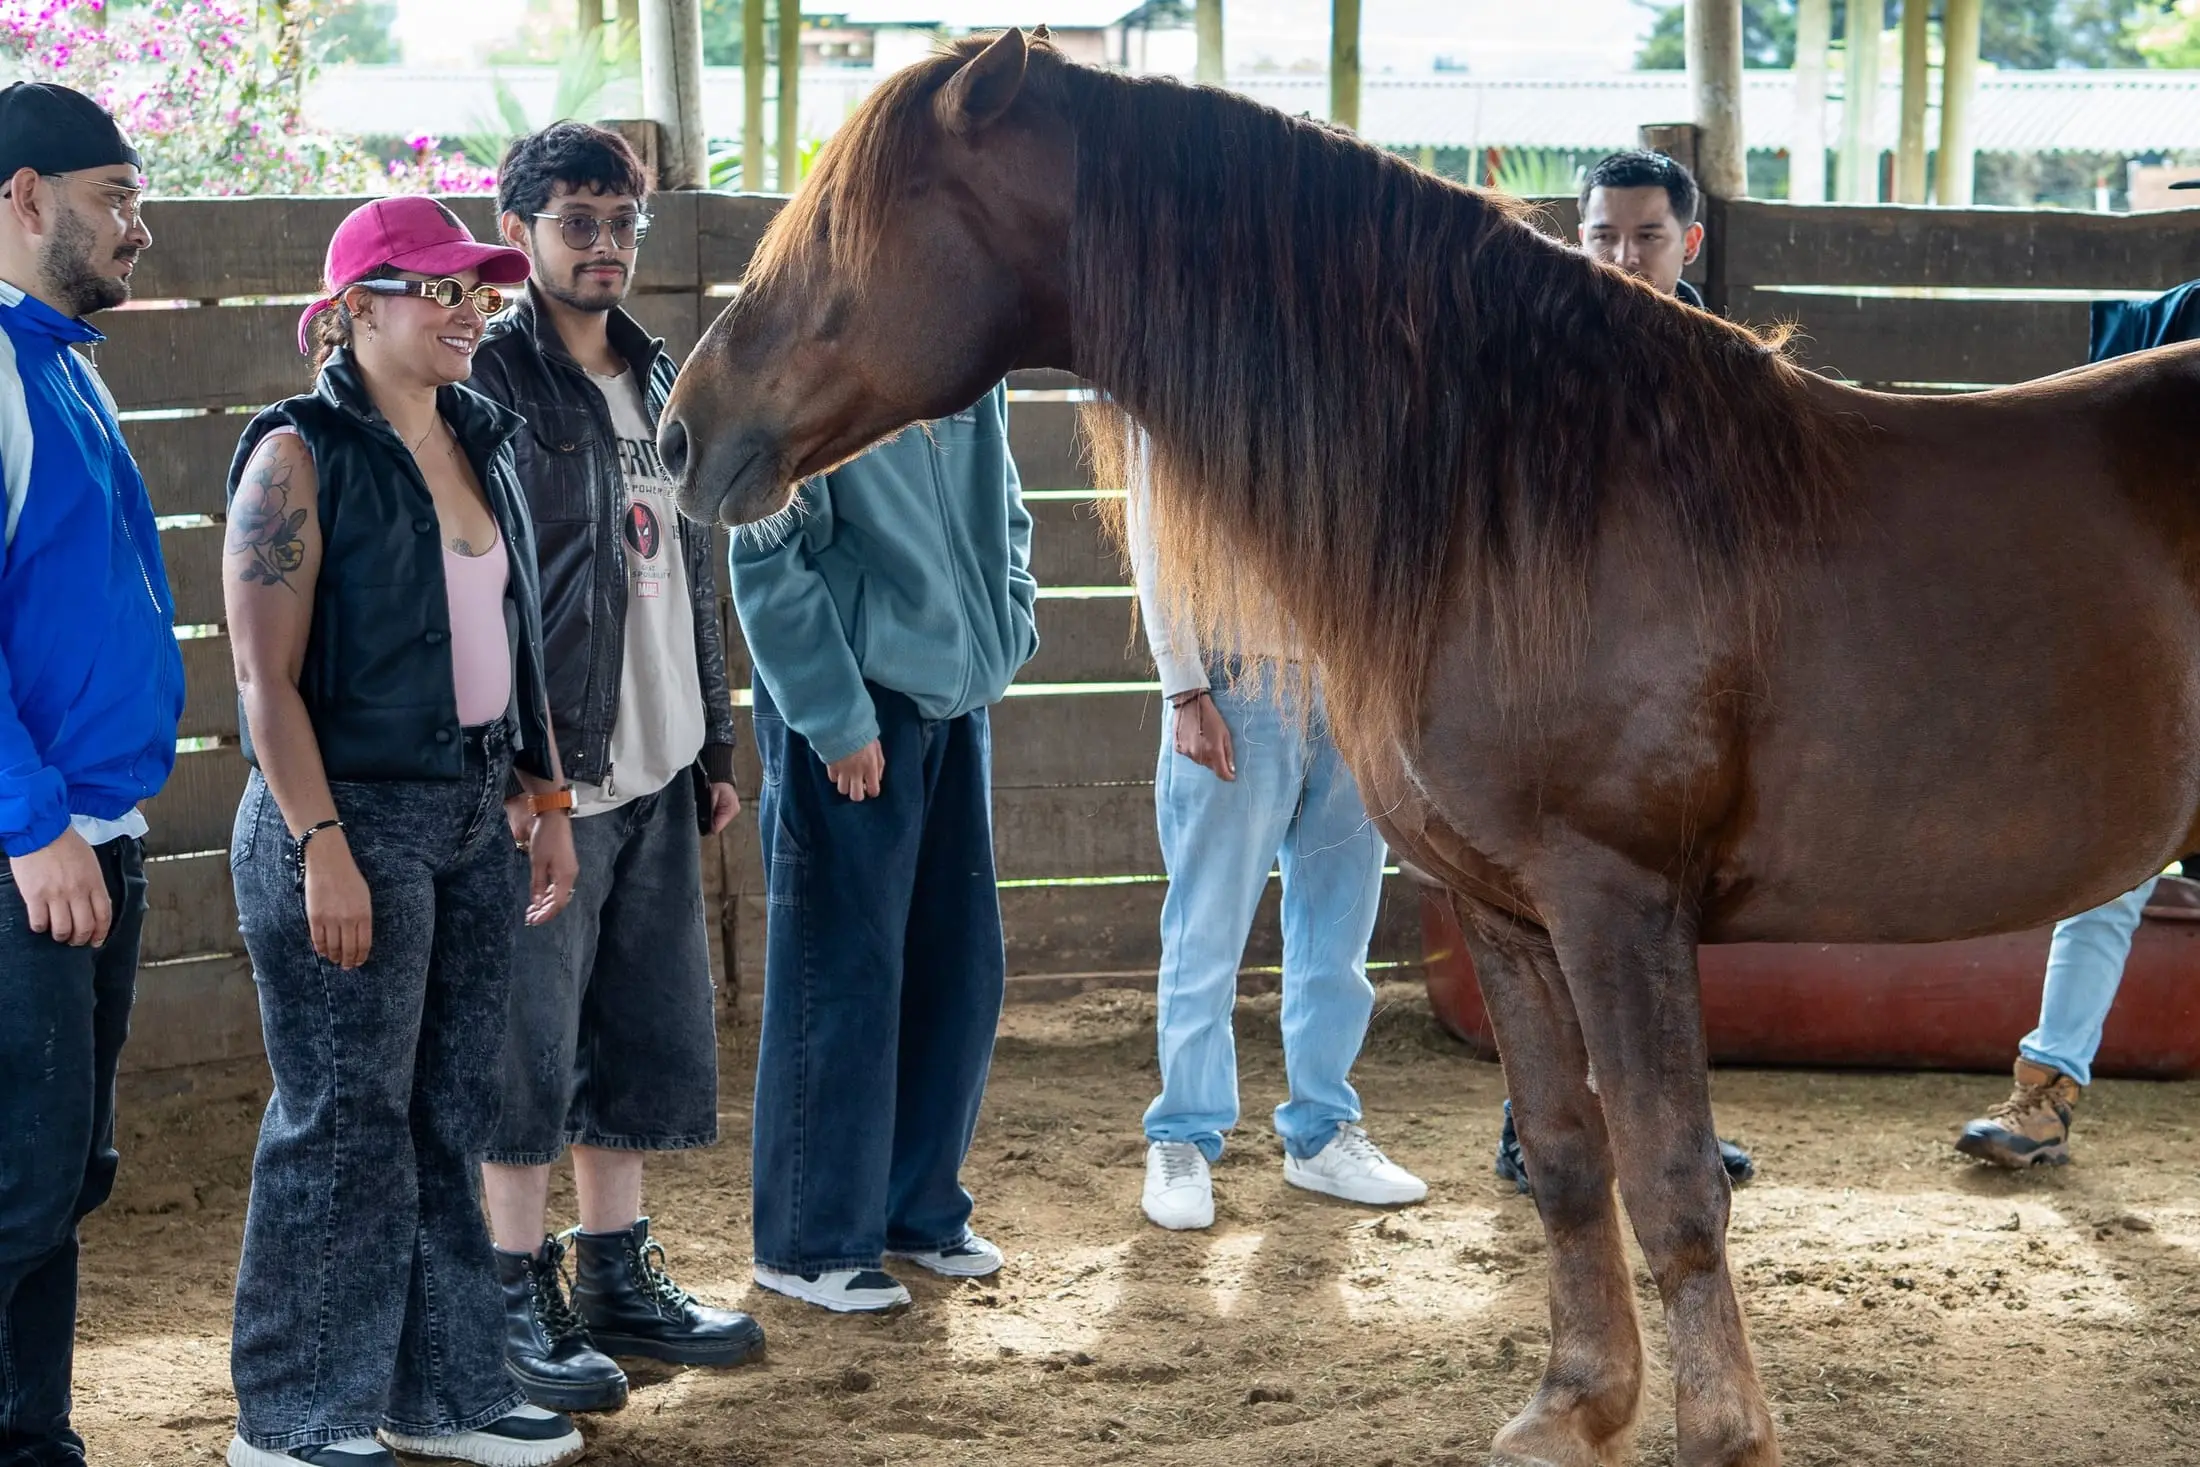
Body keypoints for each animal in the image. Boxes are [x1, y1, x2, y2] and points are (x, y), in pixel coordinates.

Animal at [657, 28, 2200, 1467]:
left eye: (844, 232)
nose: (680, 435)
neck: (1530, 494)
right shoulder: (1509, 910)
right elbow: (1571, 1162)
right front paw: (1576, 1406)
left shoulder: (1619, 902)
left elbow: (1675, 1182)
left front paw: (1720, 1432)